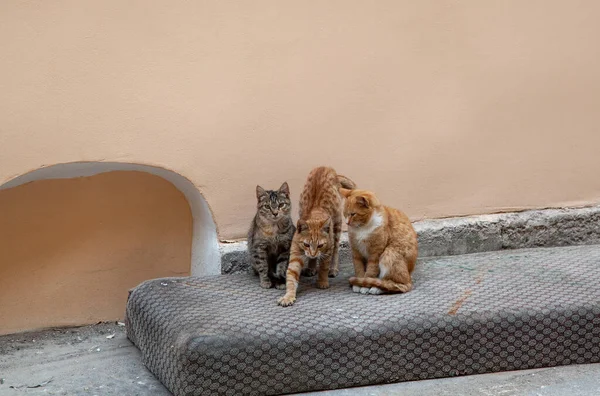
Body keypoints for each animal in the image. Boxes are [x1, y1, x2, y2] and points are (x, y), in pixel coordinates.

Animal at [278, 166, 356, 306]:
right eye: (306, 244)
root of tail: (326, 167)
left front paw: (322, 281)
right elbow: (291, 276)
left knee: (336, 250)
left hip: (337, 225)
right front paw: (288, 296)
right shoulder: (296, 255)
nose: (313, 253)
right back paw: (311, 266)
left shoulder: (327, 249)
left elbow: (324, 267)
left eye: (320, 245)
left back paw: (333, 269)